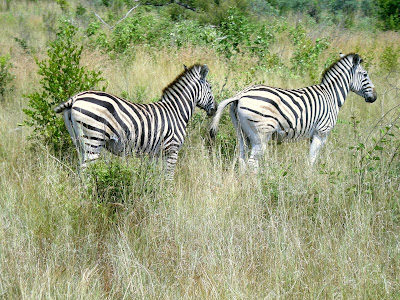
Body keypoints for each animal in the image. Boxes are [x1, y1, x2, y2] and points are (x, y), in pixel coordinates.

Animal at [54, 64, 216, 179]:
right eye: (210, 87)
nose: (214, 110)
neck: (176, 111)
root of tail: (76, 97)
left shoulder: (154, 153)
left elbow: (152, 176)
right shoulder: (172, 150)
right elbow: (168, 178)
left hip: (79, 141)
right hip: (93, 139)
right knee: (85, 171)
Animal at [211, 52, 376, 169]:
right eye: (365, 74)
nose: (374, 97)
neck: (331, 95)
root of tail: (240, 95)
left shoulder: (313, 135)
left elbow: (310, 158)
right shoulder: (321, 133)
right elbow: (312, 160)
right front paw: (311, 180)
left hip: (241, 133)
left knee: (242, 158)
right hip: (260, 135)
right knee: (253, 162)